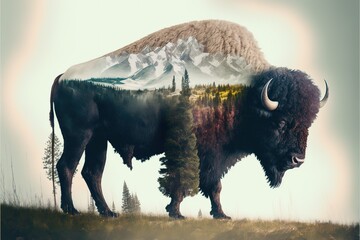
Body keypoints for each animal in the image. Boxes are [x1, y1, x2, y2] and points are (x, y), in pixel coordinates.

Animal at [50, 20, 330, 219]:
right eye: (281, 122)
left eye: (308, 124)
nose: (297, 160)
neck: (248, 94)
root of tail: (63, 76)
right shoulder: (201, 149)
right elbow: (191, 179)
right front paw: (177, 213)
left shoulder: (218, 154)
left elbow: (212, 185)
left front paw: (220, 215)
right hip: (79, 135)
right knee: (66, 166)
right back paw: (71, 210)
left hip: (98, 140)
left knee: (92, 173)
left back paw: (108, 212)